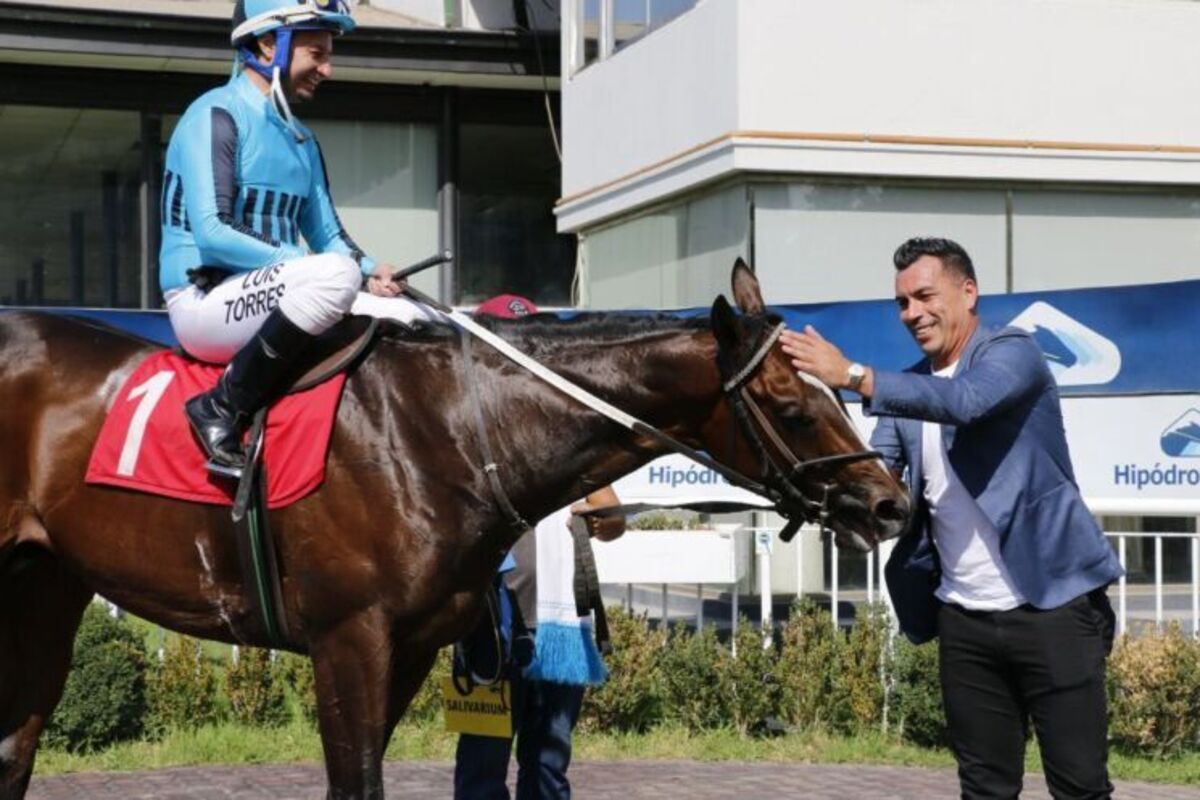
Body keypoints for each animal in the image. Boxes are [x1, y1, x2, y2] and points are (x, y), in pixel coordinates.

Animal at [0, 262, 907, 796]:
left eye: (835, 391)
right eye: (792, 407)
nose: (889, 503)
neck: (450, 428)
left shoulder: (408, 647)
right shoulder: (349, 638)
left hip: (46, 589)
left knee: (15, 746)